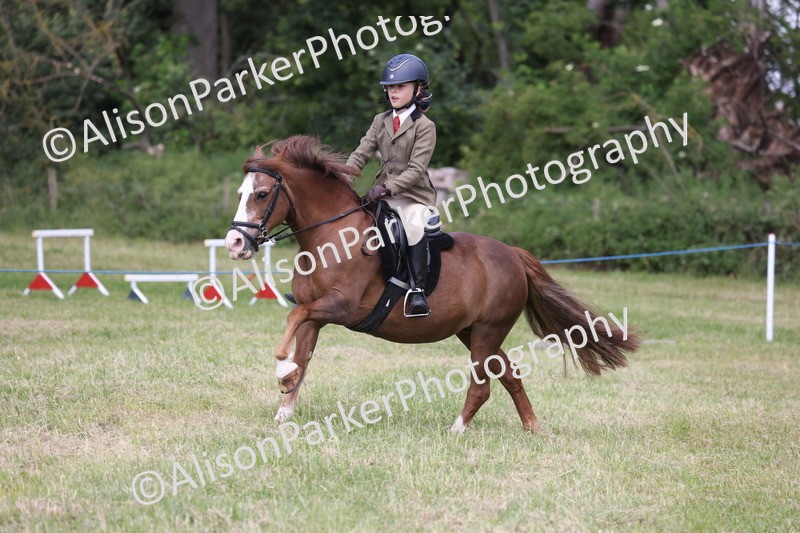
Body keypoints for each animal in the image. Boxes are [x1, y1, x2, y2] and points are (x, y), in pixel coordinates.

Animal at [224, 136, 640, 432]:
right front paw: (285, 405)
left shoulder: (340, 307)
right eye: (241, 193)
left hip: (487, 331)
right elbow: (303, 353)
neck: (332, 237)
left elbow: (293, 319)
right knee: (509, 374)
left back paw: (457, 429)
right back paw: (533, 428)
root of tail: (513, 255)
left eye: (262, 194)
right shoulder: (317, 315)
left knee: (483, 384)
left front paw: (281, 371)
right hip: (473, 332)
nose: (234, 244)